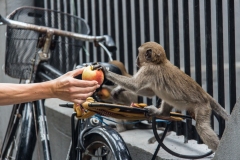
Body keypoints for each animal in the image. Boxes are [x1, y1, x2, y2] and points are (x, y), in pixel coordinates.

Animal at [102, 41, 230, 151]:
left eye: (139, 53)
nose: (136, 59)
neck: (158, 62)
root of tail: (204, 94)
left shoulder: (148, 70)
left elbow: (135, 87)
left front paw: (107, 73)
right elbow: (149, 92)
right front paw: (119, 88)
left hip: (202, 107)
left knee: (202, 127)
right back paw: (162, 113)